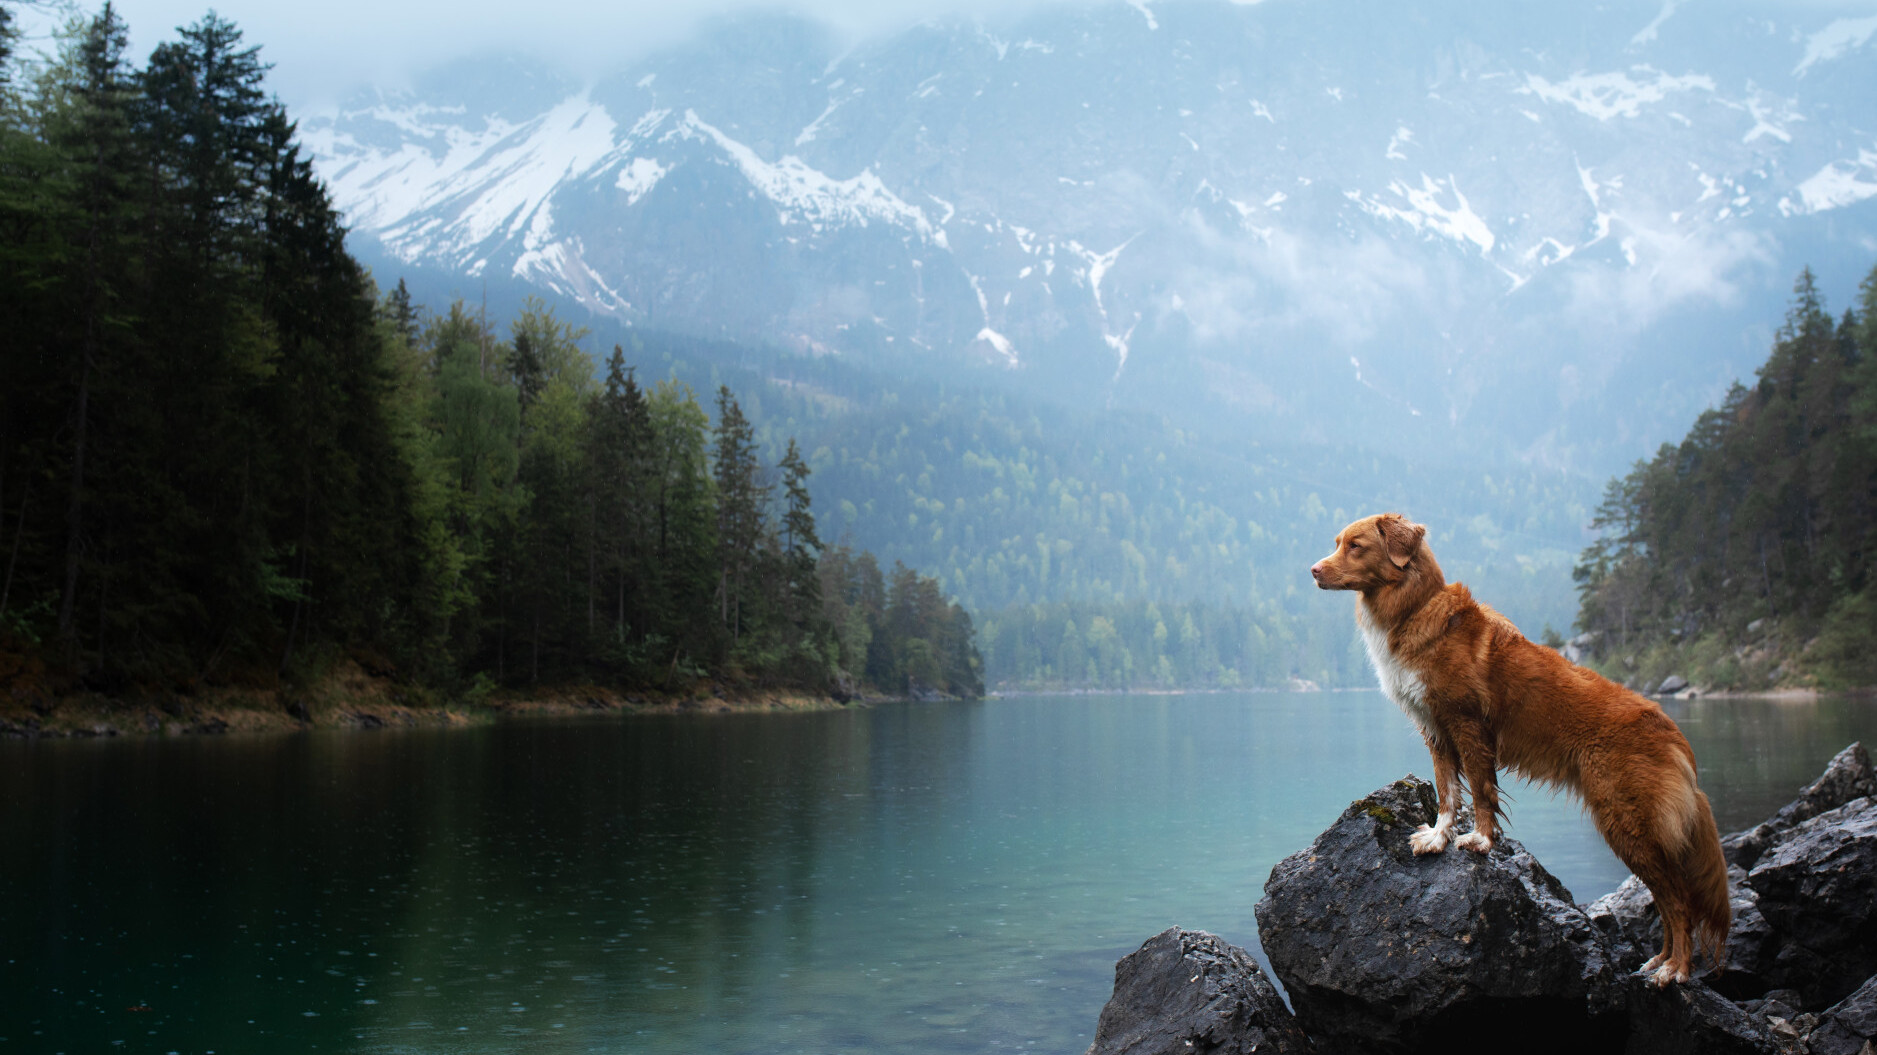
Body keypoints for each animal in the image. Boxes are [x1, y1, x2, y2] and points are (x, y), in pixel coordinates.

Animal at [1306, 510, 1726, 983]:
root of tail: (1674, 734)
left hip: (1629, 824)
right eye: (1337, 543)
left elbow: (1480, 791)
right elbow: (1448, 792)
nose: (1313, 570)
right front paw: (1438, 837)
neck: (1414, 609)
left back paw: (1676, 969)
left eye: (1355, 546)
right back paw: (1659, 960)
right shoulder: (1435, 730)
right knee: (1668, 901)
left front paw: (1480, 840)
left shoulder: (1468, 725)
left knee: (1679, 902)